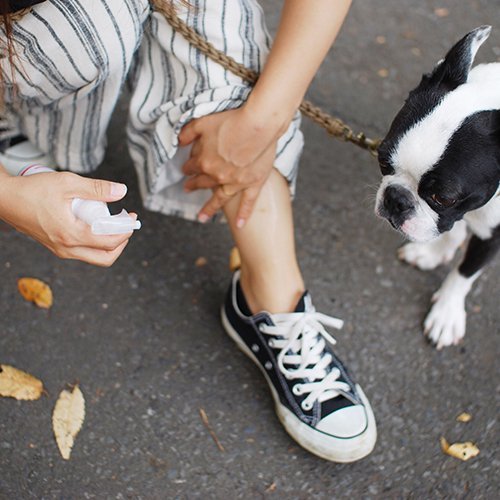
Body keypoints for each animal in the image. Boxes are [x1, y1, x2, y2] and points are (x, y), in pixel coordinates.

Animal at [376, 26, 500, 348]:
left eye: (442, 197)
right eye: (382, 160)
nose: (396, 199)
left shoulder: (490, 234)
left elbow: (465, 272)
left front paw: (446, 313)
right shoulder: (452, 217)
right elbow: (451, 229)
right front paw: (433, 253)